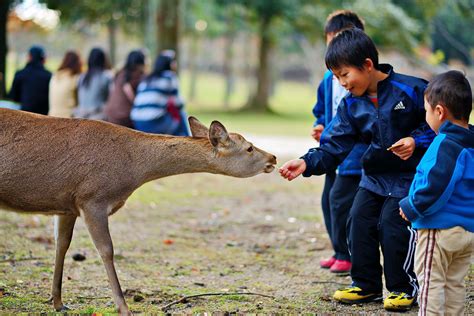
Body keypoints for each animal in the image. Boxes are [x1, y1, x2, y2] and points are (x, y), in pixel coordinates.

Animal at [0, 108, 278, 314]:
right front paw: (123, 307)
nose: (273, 158)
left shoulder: (67, 204)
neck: (134, 170)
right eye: (249, 147)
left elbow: (62, 245)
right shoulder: (93, 198)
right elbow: (106, 250)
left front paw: (58, 303)